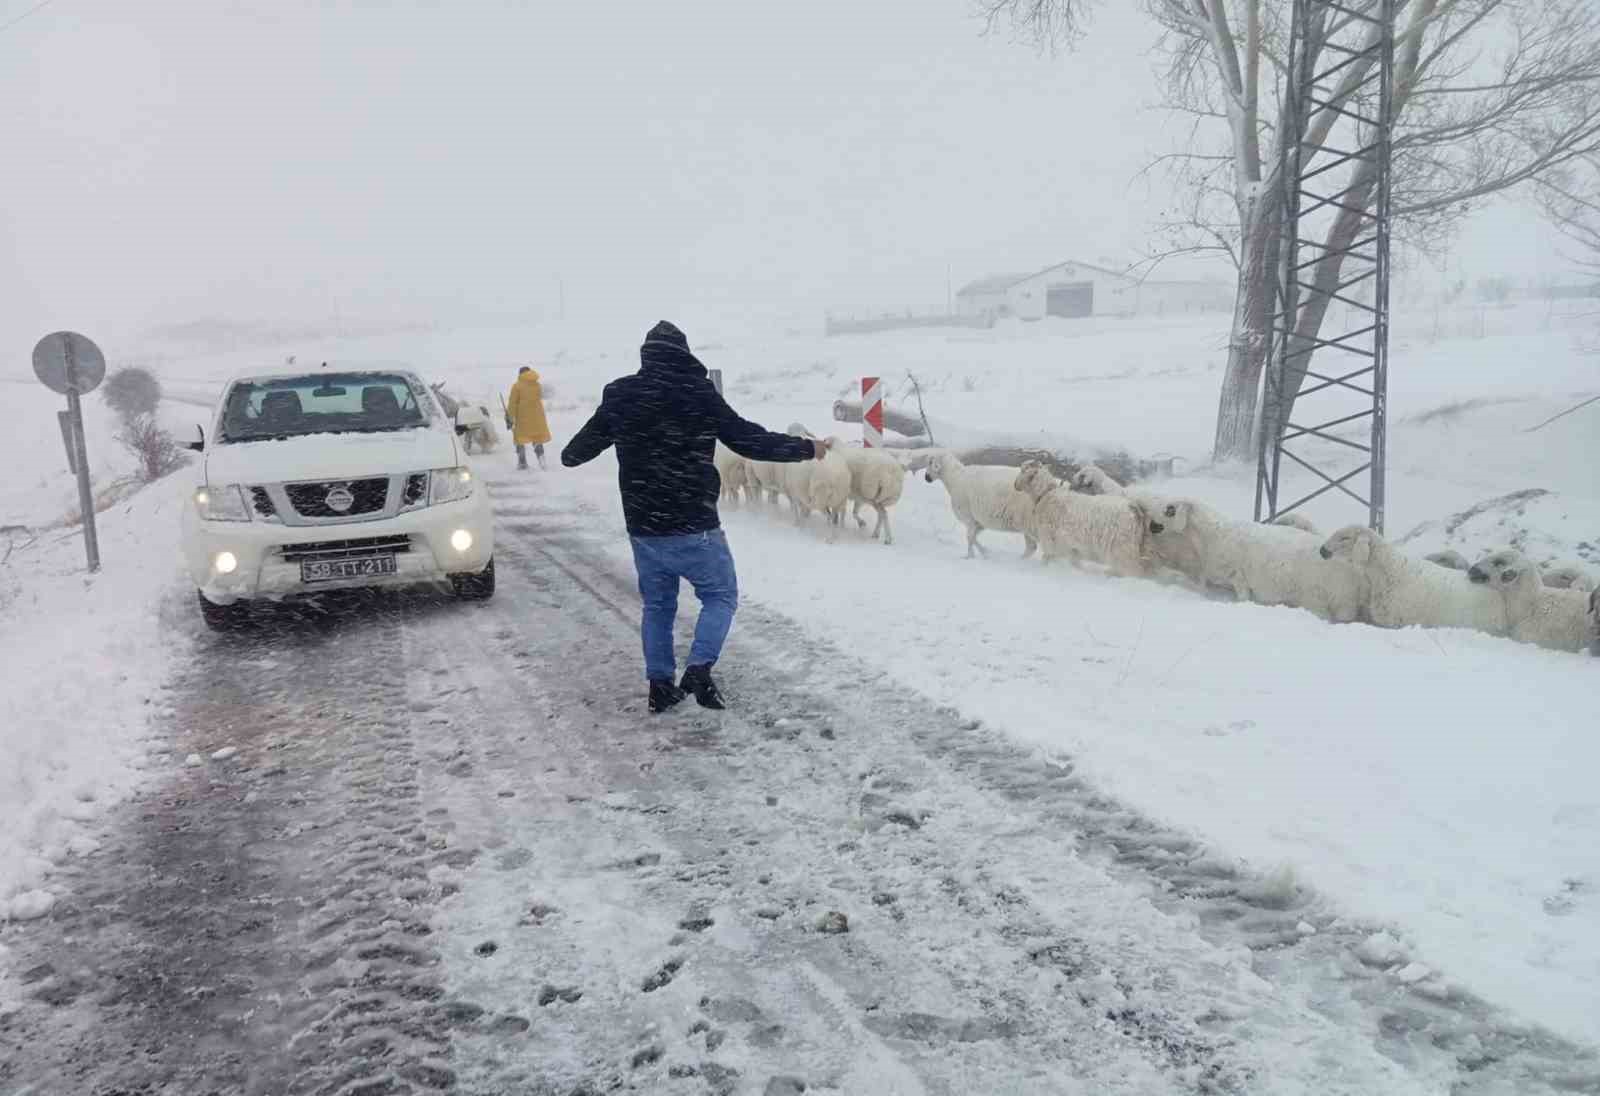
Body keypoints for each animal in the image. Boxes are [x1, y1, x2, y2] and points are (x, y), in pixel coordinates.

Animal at [1011, 460, 1152, 576]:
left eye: (1023, 470)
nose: (1015, 485)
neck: (1046, 494)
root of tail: (1134, 509)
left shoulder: (1050, 540)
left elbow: (1047, 558)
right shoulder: (1071, 547)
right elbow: (1074, 562)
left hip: (1122, 549)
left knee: (1132, 570)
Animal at [1139, 499, 1363, 620]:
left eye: (1170, 509)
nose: (1150, 525)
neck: (1212, 535)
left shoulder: (1238, 578)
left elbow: (1243, 598)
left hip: (1323, 601)